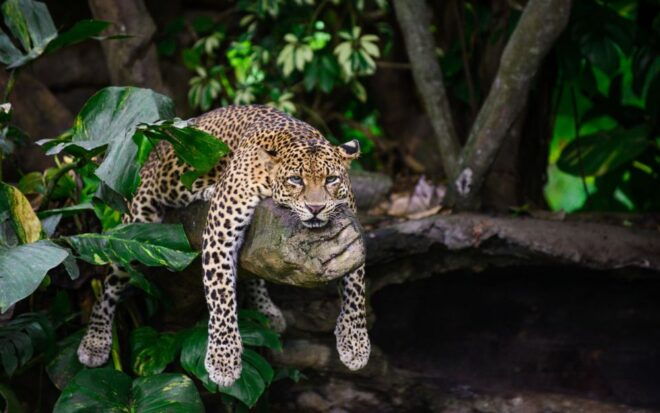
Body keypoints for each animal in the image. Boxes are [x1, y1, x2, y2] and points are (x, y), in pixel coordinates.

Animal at [77, 105, 370, 386]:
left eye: (331, 179)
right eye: (295, 180)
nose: (315, 208)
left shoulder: (353, 233)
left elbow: (355, 288)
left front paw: (355, 343)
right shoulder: (220, 231)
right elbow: (221, 297)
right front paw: (223, 360)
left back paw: (267, 310)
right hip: (135, 222)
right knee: (110, 283)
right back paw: (94, 341)